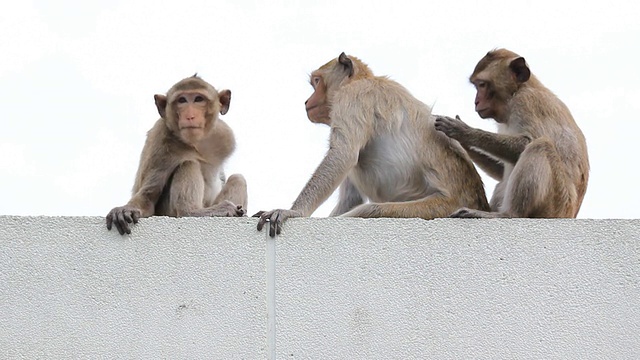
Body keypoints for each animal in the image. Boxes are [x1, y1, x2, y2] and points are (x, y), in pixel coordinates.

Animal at [105, 74, 248, 235]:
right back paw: (192, 212)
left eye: (198, 99)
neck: (194, 143)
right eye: (182, 100)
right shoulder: (161, 141)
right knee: (189, 163)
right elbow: (147, 196)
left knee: (238, 178)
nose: (190, 116)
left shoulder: (224, 133)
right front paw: (125, 209)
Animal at [255, 50, 490, 236]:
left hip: (441, 207)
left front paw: (293, 211)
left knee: (371, 210)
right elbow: (351, 196)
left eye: (317, 82)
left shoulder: (352, 99)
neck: (361, 79)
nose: (307, 101)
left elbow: (343, 155)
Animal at [436, 47, 592, 217]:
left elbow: (527, 142)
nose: (476, 102)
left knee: (540, 146)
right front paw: (462, 143)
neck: (518, 91)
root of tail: (571, 213)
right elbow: (502, 168)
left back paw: (507, 214)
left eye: (482, 85)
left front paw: (463, 131)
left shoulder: (526, 102)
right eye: (477, 86)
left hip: (557, 203)